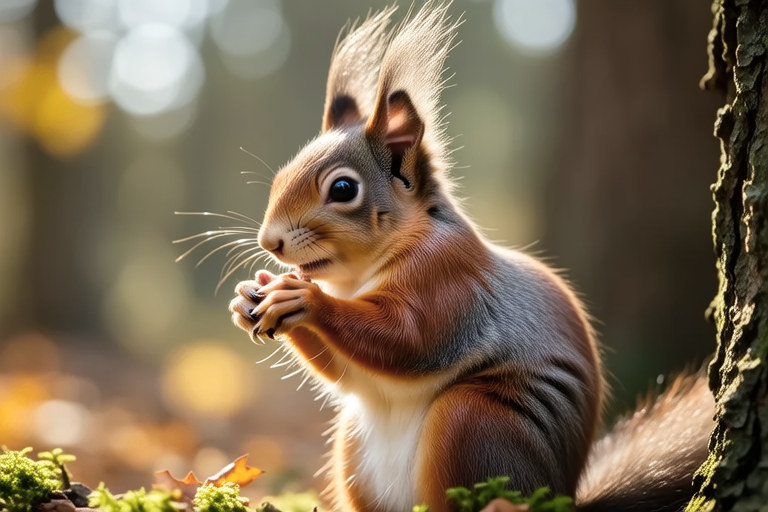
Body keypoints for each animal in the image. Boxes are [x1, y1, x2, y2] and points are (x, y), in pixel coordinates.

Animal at [226, 3, 715, 511]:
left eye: (343, 188)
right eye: (280, 175)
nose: (269, 242)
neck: (363, 275)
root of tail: (562, 496)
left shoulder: (450, 279)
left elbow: (411, 340)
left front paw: (304, 300)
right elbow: (345, 371)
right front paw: (247, 297)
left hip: (475, 421)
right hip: (354, 443)